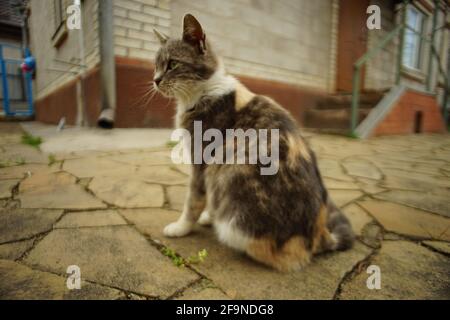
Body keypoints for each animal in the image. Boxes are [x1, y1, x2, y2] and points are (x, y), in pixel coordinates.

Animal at [153, 13, 354, 272]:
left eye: (172, 64)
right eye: (156, 65)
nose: (155, 80)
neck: (203, 91)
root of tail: (320, 234)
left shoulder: (203, 163)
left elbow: (193, 201)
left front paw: (181, 227)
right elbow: (207, 198)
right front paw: (207, 216)